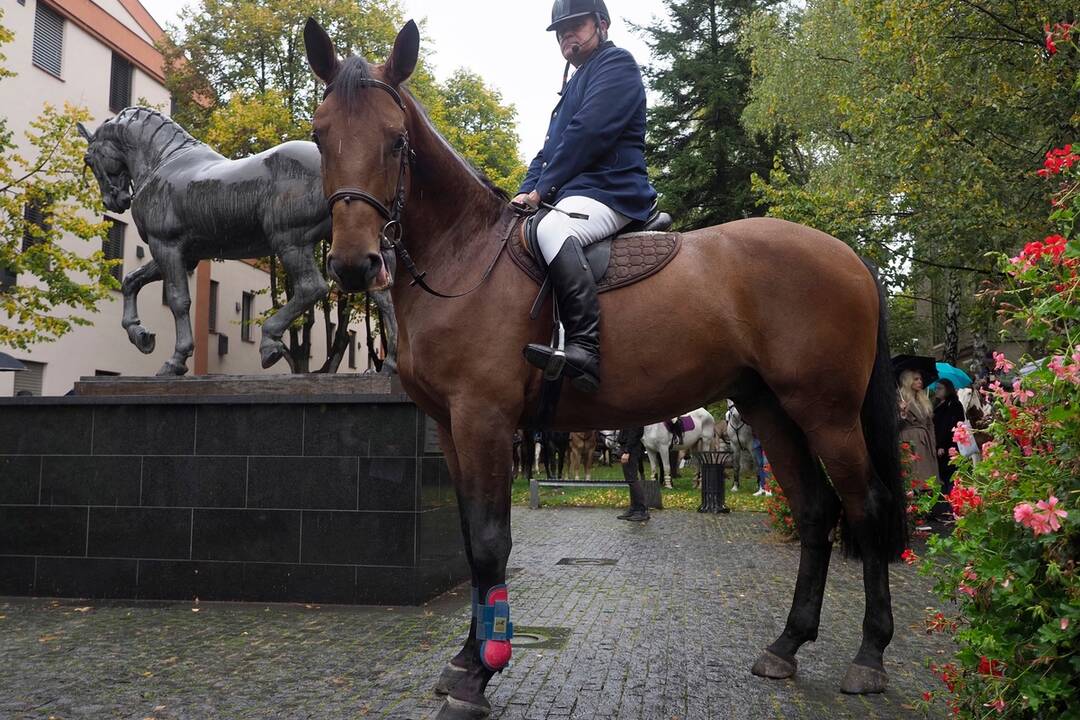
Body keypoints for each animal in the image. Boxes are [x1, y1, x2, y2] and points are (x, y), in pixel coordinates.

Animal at [77, 109, 397, 377]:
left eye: (89, 159)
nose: (113, 200)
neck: (163, 162)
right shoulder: (183, 254)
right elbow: (131, 281)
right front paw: (141, 336)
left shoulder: (166, 246)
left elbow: (179, 300)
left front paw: (175, 361)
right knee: (384, 296)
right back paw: (390, 365)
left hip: (290, 239)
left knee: (312, 288)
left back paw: (269, 343)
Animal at [308, 19, 907, 716]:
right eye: (319, 135)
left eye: (397, 140)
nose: (355, 264)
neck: (464, 256)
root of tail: (848, 255)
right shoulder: (451, 429)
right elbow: (470, 539)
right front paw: (465, 658)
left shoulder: (484, 419)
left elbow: (489, 541)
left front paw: (482, 671)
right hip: (771, 408)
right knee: (815, 510)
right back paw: (786, 645)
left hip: (827, 414)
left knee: (865, 507)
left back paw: (870, 656)